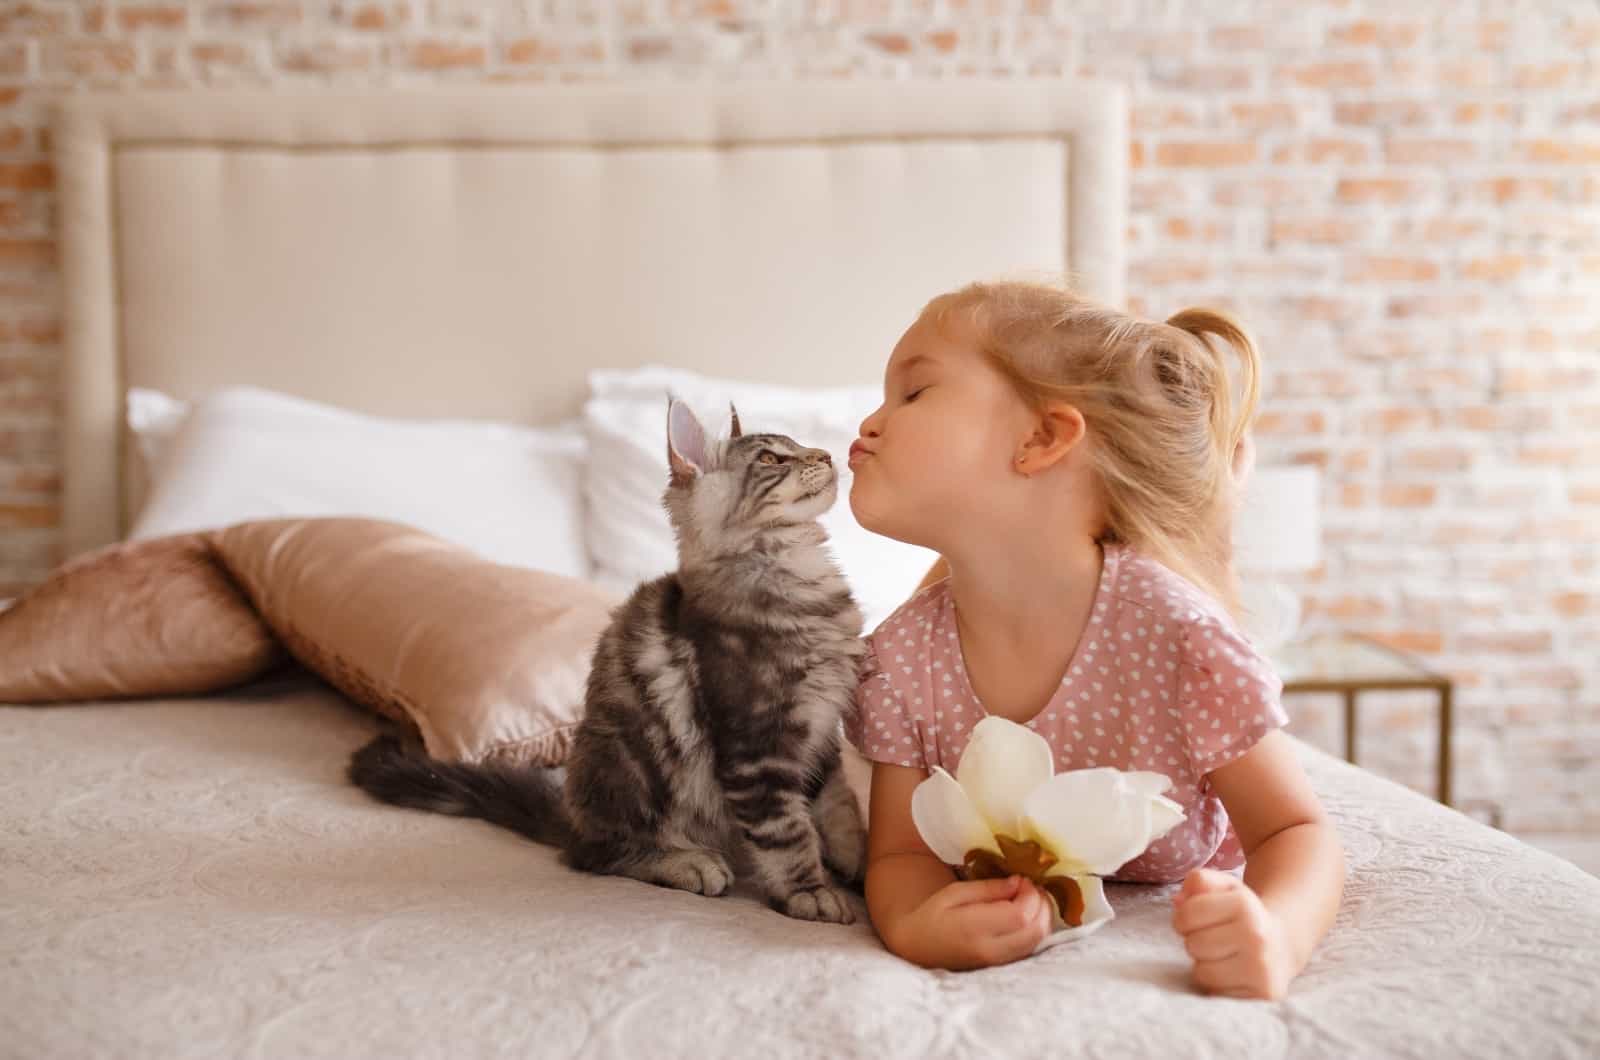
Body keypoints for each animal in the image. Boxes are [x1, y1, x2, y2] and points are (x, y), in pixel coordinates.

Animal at [350, 398, 870, 922]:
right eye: (769, 459)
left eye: (798, 444)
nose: (827, 455)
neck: (799, 575)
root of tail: (571, 813)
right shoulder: (756, 744)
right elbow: (787, 832)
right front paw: (810, 891)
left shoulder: (821, 733)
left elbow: (837, 802)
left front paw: (856, 859)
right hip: (630, 762)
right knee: (594, 854)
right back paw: (685, 862)